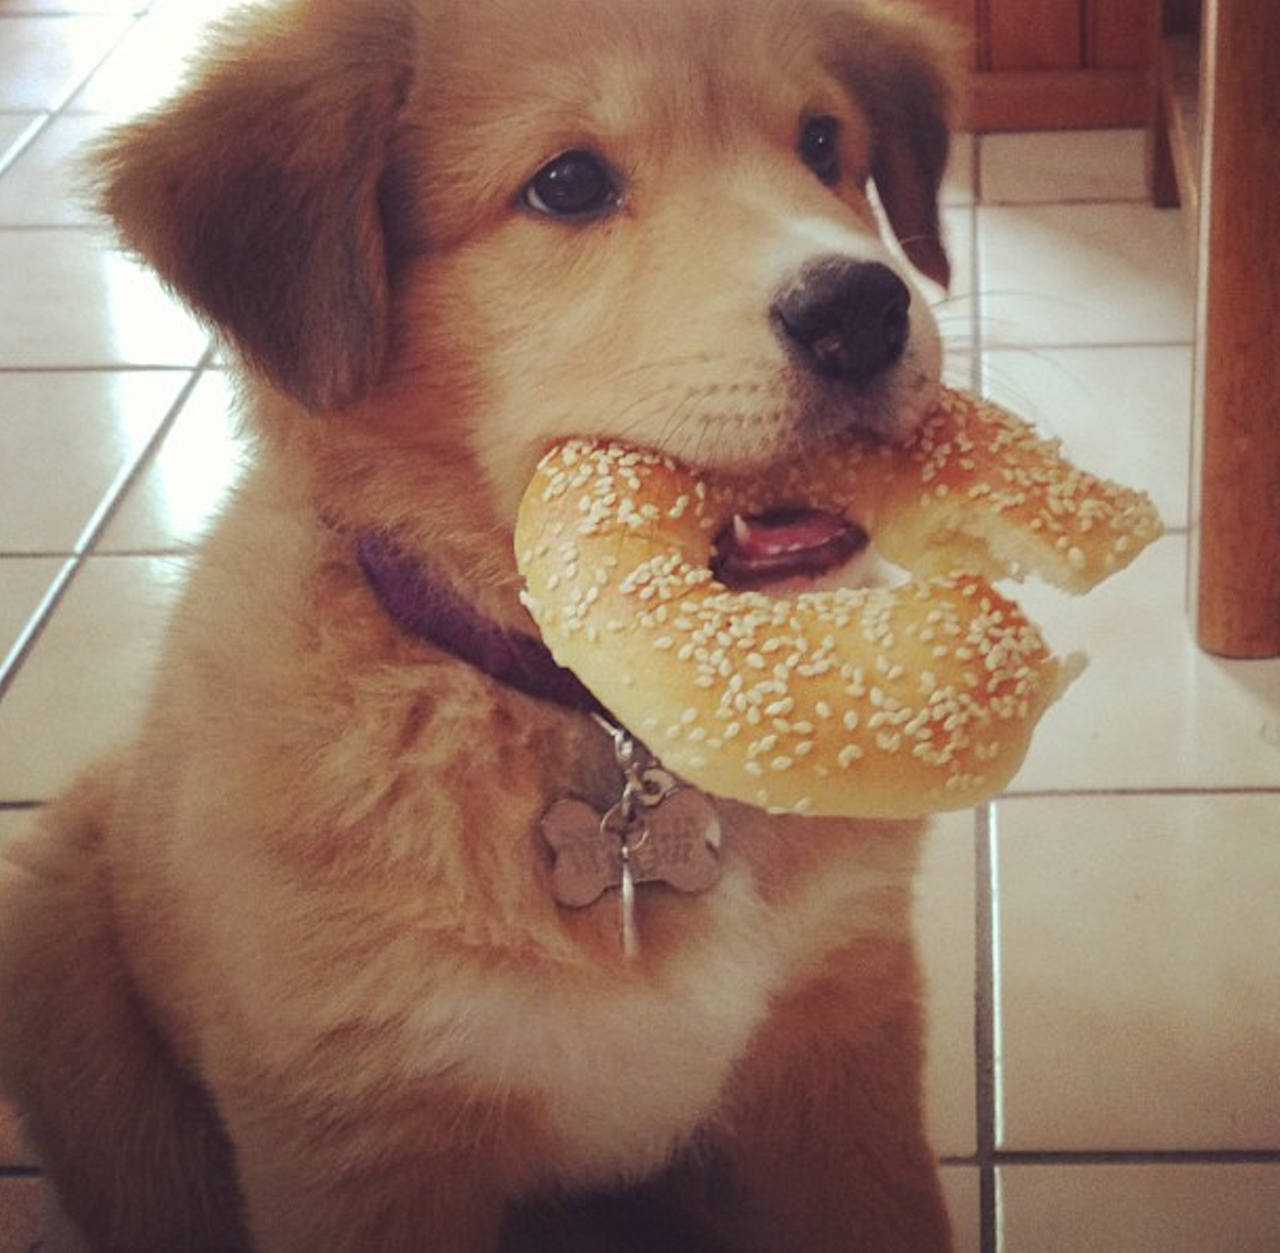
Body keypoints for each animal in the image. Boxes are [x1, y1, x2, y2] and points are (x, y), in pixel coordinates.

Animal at [0, 0, 962, 1249]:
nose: (861, 309)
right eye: (566, 183)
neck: (617, 714)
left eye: (821, 143)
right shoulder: (362, 1135)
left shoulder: (843, 1039)